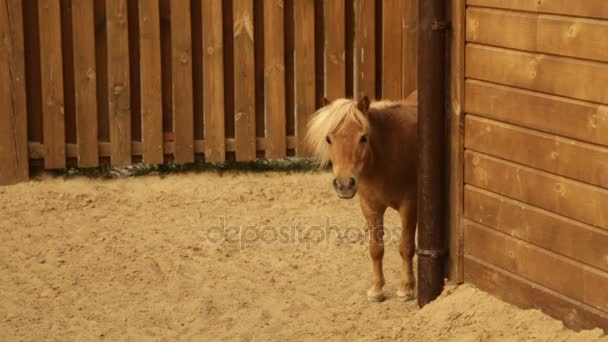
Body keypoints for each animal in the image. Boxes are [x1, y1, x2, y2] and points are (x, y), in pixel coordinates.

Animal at [304, 91, 418, 302]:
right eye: (329, 139)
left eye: (363, 138)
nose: (344, 185)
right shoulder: (370, 208)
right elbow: (376, 249)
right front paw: (376, 289)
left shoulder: (409, 206)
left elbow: (406, 247)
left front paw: (406, 288)